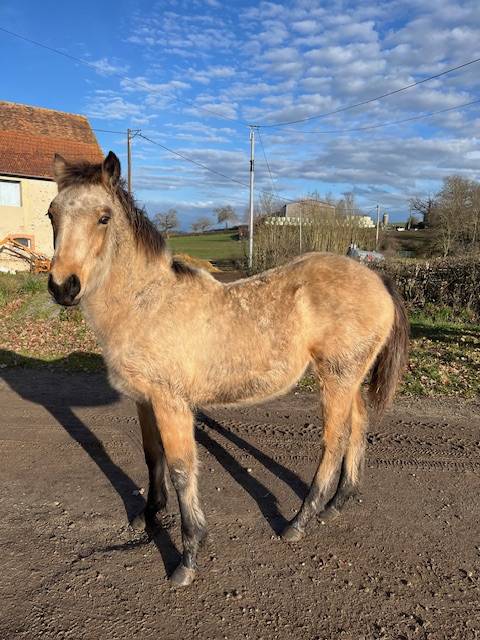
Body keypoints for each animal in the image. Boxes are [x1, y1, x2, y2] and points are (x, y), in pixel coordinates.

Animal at [47, 151, 409, 586]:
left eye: (104, 217)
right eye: (52, 213)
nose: (63, 287)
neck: (147, 302)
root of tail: (376, 277)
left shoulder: (171, 403)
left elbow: (181, 468)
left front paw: (187, 558)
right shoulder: (144, 400)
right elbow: (152, 458)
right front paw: (147, 516)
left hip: (336, 378)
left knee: (334, 441)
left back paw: (298, 522)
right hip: (349, 377)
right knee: (358, 427)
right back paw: (338, 503)